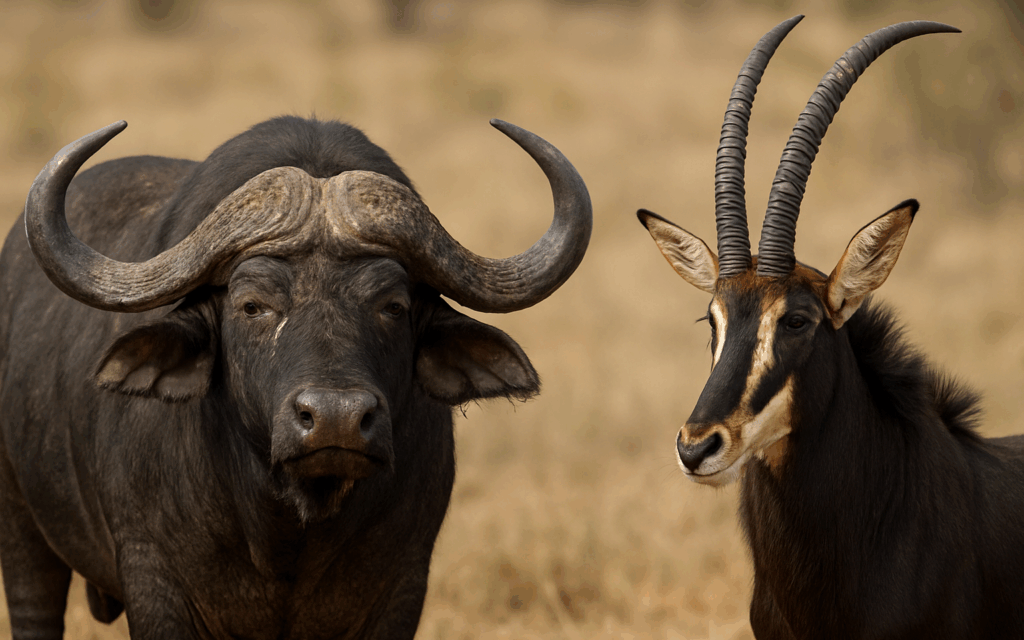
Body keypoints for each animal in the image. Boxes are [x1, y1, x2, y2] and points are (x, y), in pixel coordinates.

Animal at [0, 116, 591, 638]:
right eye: (252, 305)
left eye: (393, 305)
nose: (336, 419)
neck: (287, 528)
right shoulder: (154, 581)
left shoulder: (403, 584)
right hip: (24, 538)